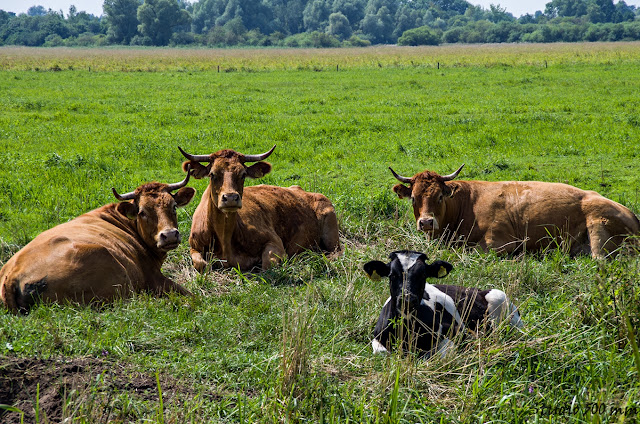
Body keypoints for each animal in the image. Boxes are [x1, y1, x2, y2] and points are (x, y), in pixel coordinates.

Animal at [178, 146, 342, 272]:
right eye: (212, 174)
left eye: (243, 174)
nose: (230, 198)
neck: (225, 239)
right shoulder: (194, 246)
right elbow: (201, 264)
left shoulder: (275, 242)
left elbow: (268, 264)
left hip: (331, 229)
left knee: (336, 252)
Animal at [362, 250, 524, 356]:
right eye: (392, 275)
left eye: (423, 275)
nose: (407, 299)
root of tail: (478, 289)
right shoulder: (378, 339)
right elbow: (382, 352)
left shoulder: (456, 332)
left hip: (502, 301)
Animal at [390, 165, 640, 258]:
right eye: (414, 198)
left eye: (440, 196)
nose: (426, 222)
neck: (467, 202)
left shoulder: (498, 241)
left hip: (597, 228)